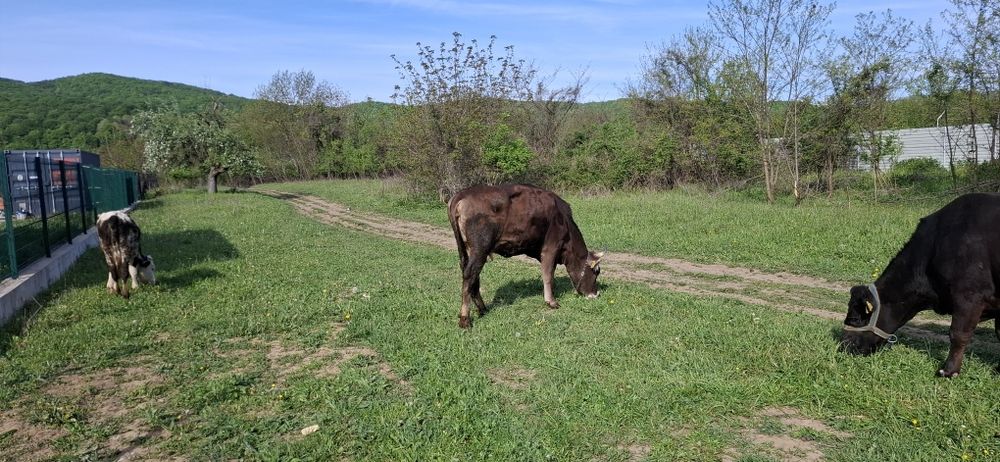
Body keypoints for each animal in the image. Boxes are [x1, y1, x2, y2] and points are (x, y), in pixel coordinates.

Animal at [448, 184, 604, 328]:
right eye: (596, 271)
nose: (595, 294)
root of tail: (461, 194)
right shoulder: (551, 247)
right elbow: (548, 275)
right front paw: (551, 302)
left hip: (468, 250)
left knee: (471, 275)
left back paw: (482, 308)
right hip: (480, 248)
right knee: (470, 274)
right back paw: (465, 319)